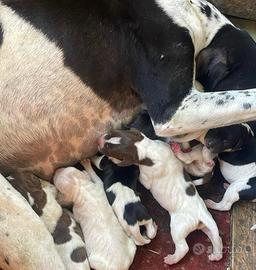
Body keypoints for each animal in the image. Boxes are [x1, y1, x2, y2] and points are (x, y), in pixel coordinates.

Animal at [97, 129, 222, 266]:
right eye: (110, 134)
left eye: (108, 148)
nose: (99, 140)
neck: (146, 147)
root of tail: (200, 215)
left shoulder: (145, 178)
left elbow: (142, 179)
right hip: (206, 224)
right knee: (216, 237)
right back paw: (216, 254)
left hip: (178, 227)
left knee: (183, 247)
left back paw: (172, 259)